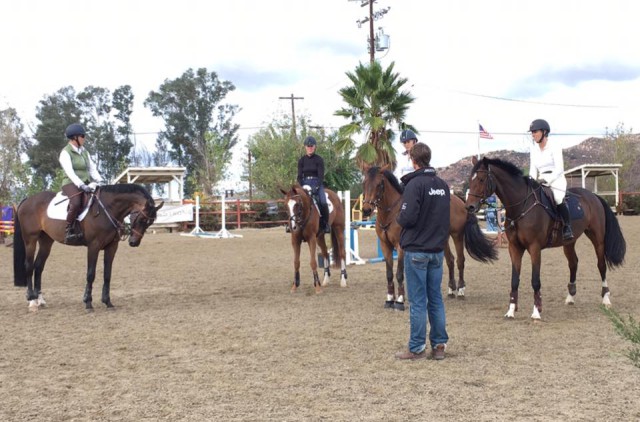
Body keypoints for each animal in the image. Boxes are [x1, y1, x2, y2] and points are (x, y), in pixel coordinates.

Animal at [12, 184, 164, 310]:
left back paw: (40, 300)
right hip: (30, 240)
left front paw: (107, 302)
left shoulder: (112, 247)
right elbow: (91, 274)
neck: (107, 209)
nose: (134, 242)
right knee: (29, 266)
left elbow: (107, 275)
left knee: (38, 267)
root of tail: (27, 199)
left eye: (150, 222)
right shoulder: (93, 246)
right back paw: (32, 300)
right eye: (142, 219)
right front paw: (88, 302)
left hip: (46, 241)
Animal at [362, 166, 498, 310]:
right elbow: (389, 274)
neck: (392, 214)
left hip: (457, 235)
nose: (366, 209)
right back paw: (451, 289)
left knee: (460, 261)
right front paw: (389, 299)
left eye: (379, 184)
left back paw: (460, 290)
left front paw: (399, 300)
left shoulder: (400, 247)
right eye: (364, 183)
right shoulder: (385, 246)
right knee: (450, 260)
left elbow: (399, 274)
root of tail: (460, 201)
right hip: (443, 239)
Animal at [464, 157, 624, 318]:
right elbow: (514, 280)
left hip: (598, 239)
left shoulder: (534, 247)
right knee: (573, 263)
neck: (521, 206)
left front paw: (536, 311)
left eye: (481, 179)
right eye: (470, 180)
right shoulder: (514, 248)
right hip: (569, 242)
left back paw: (606, 299)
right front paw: (511, 311)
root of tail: (593, 196)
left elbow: (535, 280)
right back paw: (570, 297)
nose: (469, 207)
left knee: (601, 265)